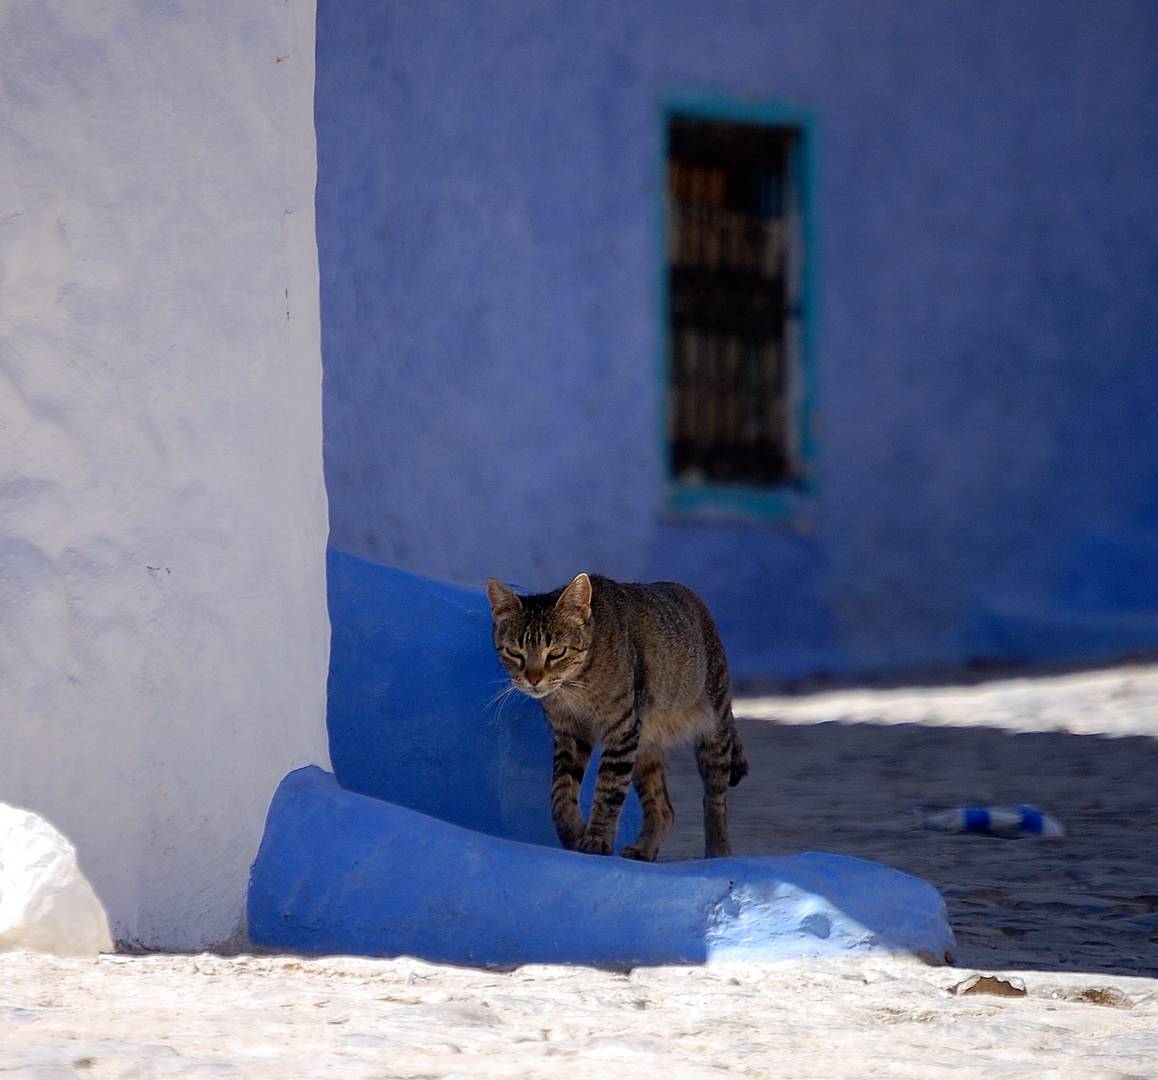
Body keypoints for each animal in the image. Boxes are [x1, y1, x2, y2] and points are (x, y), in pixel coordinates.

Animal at [484, 574, 745, 861]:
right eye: (514, 653)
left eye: (556, 652)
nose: (533, 679)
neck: (575, 687)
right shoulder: (570, 734)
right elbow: (560, 794)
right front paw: (573, 832)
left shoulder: (621, 728)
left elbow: (608, 790)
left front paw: (597, 838)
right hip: (646, 747)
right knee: (664, 809)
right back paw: (644, 849)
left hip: (714, 729)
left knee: (715, 799)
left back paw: (718, 851)